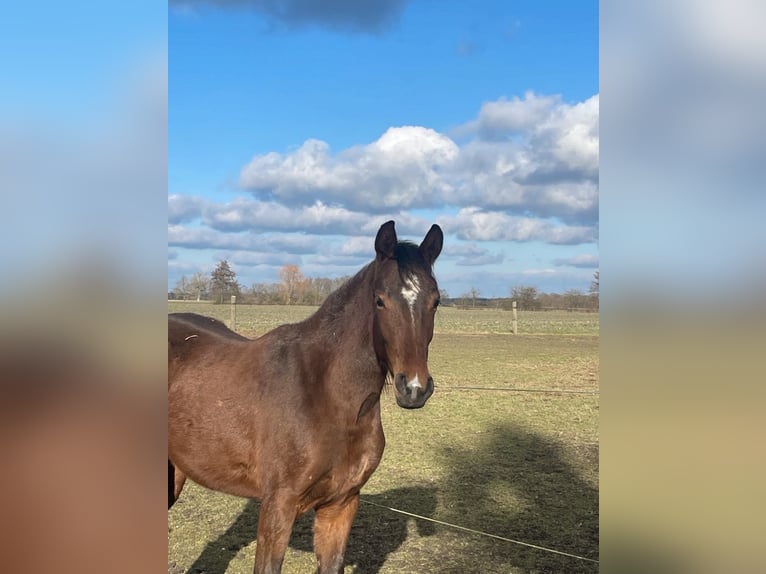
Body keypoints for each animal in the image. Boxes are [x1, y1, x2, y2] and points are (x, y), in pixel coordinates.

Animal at [168, 220, 443, 574]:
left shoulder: (341, 504)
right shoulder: (278, 506)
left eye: (435, 301)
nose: (414, 388)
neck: (329, 397)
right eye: (380, 300)